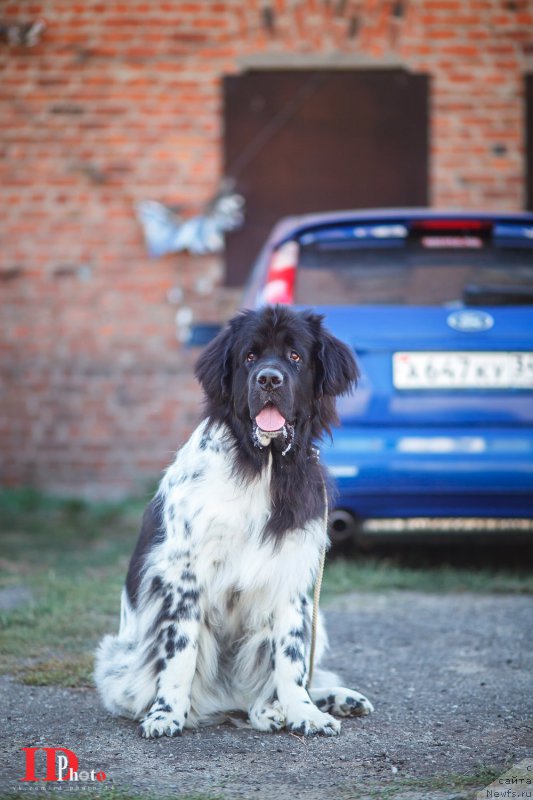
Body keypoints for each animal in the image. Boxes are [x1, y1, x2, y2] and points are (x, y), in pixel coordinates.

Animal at [93, 304, 372, 736]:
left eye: (295, 356)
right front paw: (166, 714)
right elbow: (180, 653)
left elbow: (291, 658)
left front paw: (305, 713)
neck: (263, 465)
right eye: (250, 357)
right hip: (118, 664)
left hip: (317, 618)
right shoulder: (183, 575)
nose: (269, 378)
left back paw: (324, 702)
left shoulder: (292, 574)